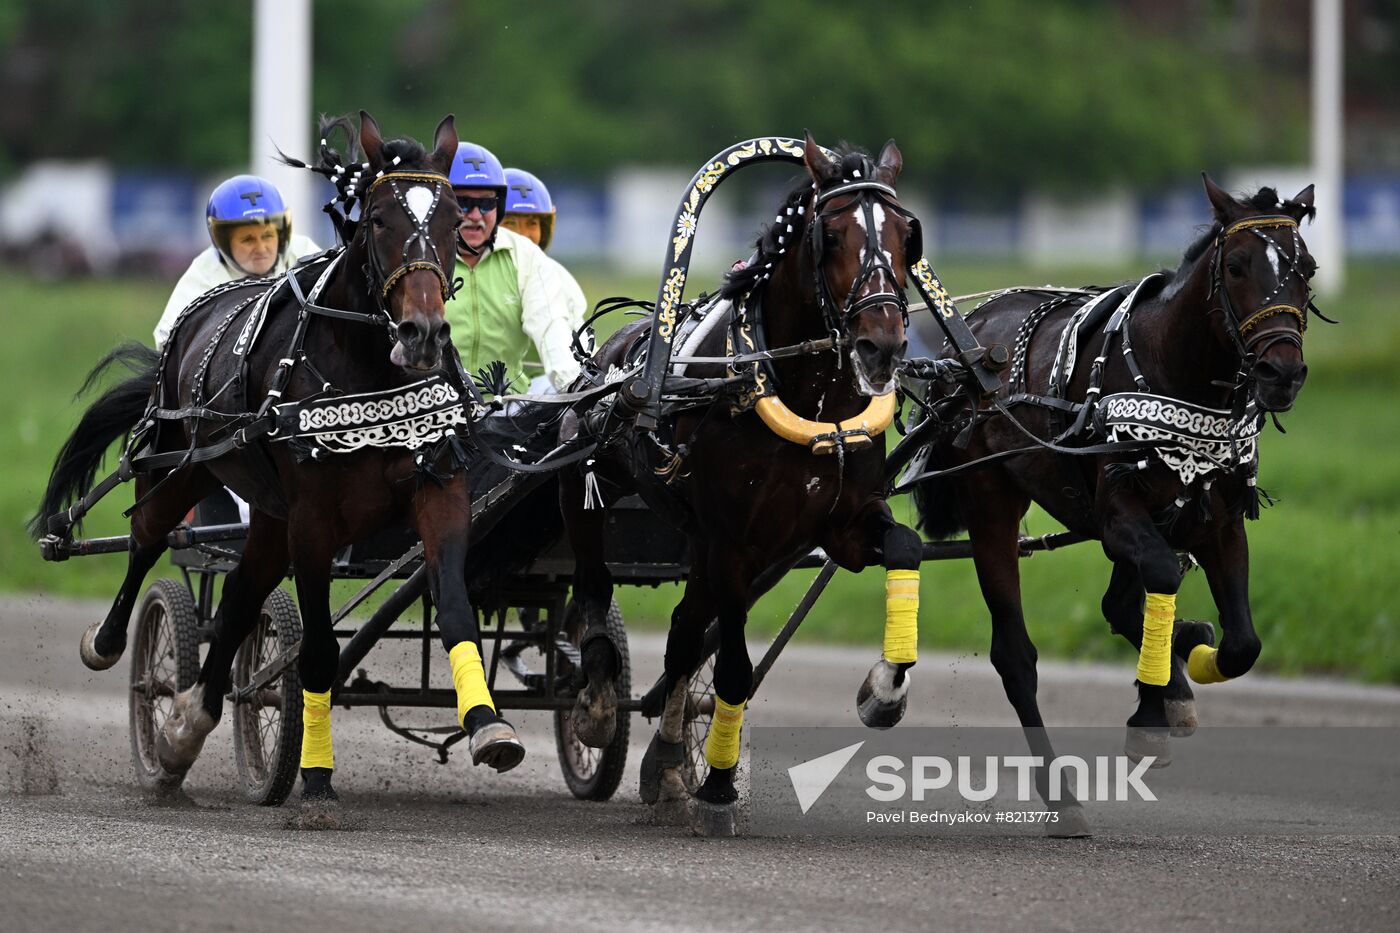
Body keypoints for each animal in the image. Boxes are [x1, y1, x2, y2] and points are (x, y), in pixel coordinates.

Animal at [31, 112, 526, 812]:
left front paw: (489, 726)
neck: (367, 375)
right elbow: (316, 649)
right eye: (378, 219)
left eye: (457, 219)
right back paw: (111, 648)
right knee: (149, 535)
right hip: (186, 462)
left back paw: (188, 723)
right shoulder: (314, 518)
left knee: (243, 591)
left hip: (267, 510)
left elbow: (456, 611)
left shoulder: (440, 490)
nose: (423, 332)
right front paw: (316, 775)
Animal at [557, 132, 929, 834]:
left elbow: (905, 546)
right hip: (591, 476)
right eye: (833, 235)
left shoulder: (844, 522)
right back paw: (594, 692)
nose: (883, 346)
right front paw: (719, 785)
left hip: (700, 545)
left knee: (681, 635)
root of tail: (616, 350)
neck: (802, 393)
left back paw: (668, 762)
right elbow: (732, 668)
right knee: (592, 578)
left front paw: (884, 690)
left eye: (905, 236)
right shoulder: (734, 542)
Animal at [912, 176, 1316, 823]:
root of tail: (964, 350)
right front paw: (1155, 706)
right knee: (1014, 655)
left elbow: (1241, 644)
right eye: (1235, 266)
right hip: (991, 502)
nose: (1282, 372)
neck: (1172, 368)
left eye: (1306, 268)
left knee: (1122, 603)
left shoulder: (1216, 518)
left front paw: (1185, 658)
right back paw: (1061, 795)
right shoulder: (1117, 510)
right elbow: (1161, 576)